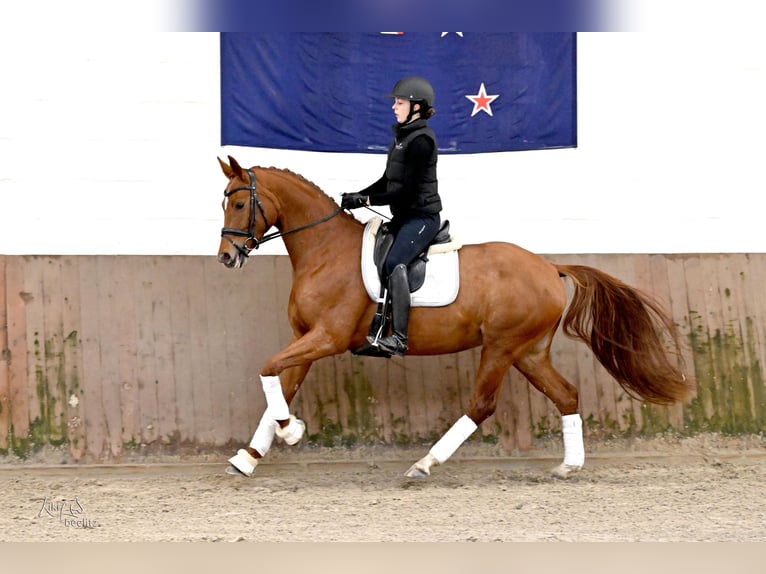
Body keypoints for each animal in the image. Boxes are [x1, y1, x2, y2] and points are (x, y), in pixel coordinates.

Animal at [216, 156, 694, 479]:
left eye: (239, 205)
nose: (226, 257)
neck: (324, 250)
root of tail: (549, 266)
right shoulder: (305, 336)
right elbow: (280, 385)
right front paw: (251, 456)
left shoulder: (326, 337)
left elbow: (268, 370)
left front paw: (290, 432)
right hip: (528, 352)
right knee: (567, 395)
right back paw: (568, 467)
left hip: (501, 346)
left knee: (482, 404)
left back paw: (424, 463)